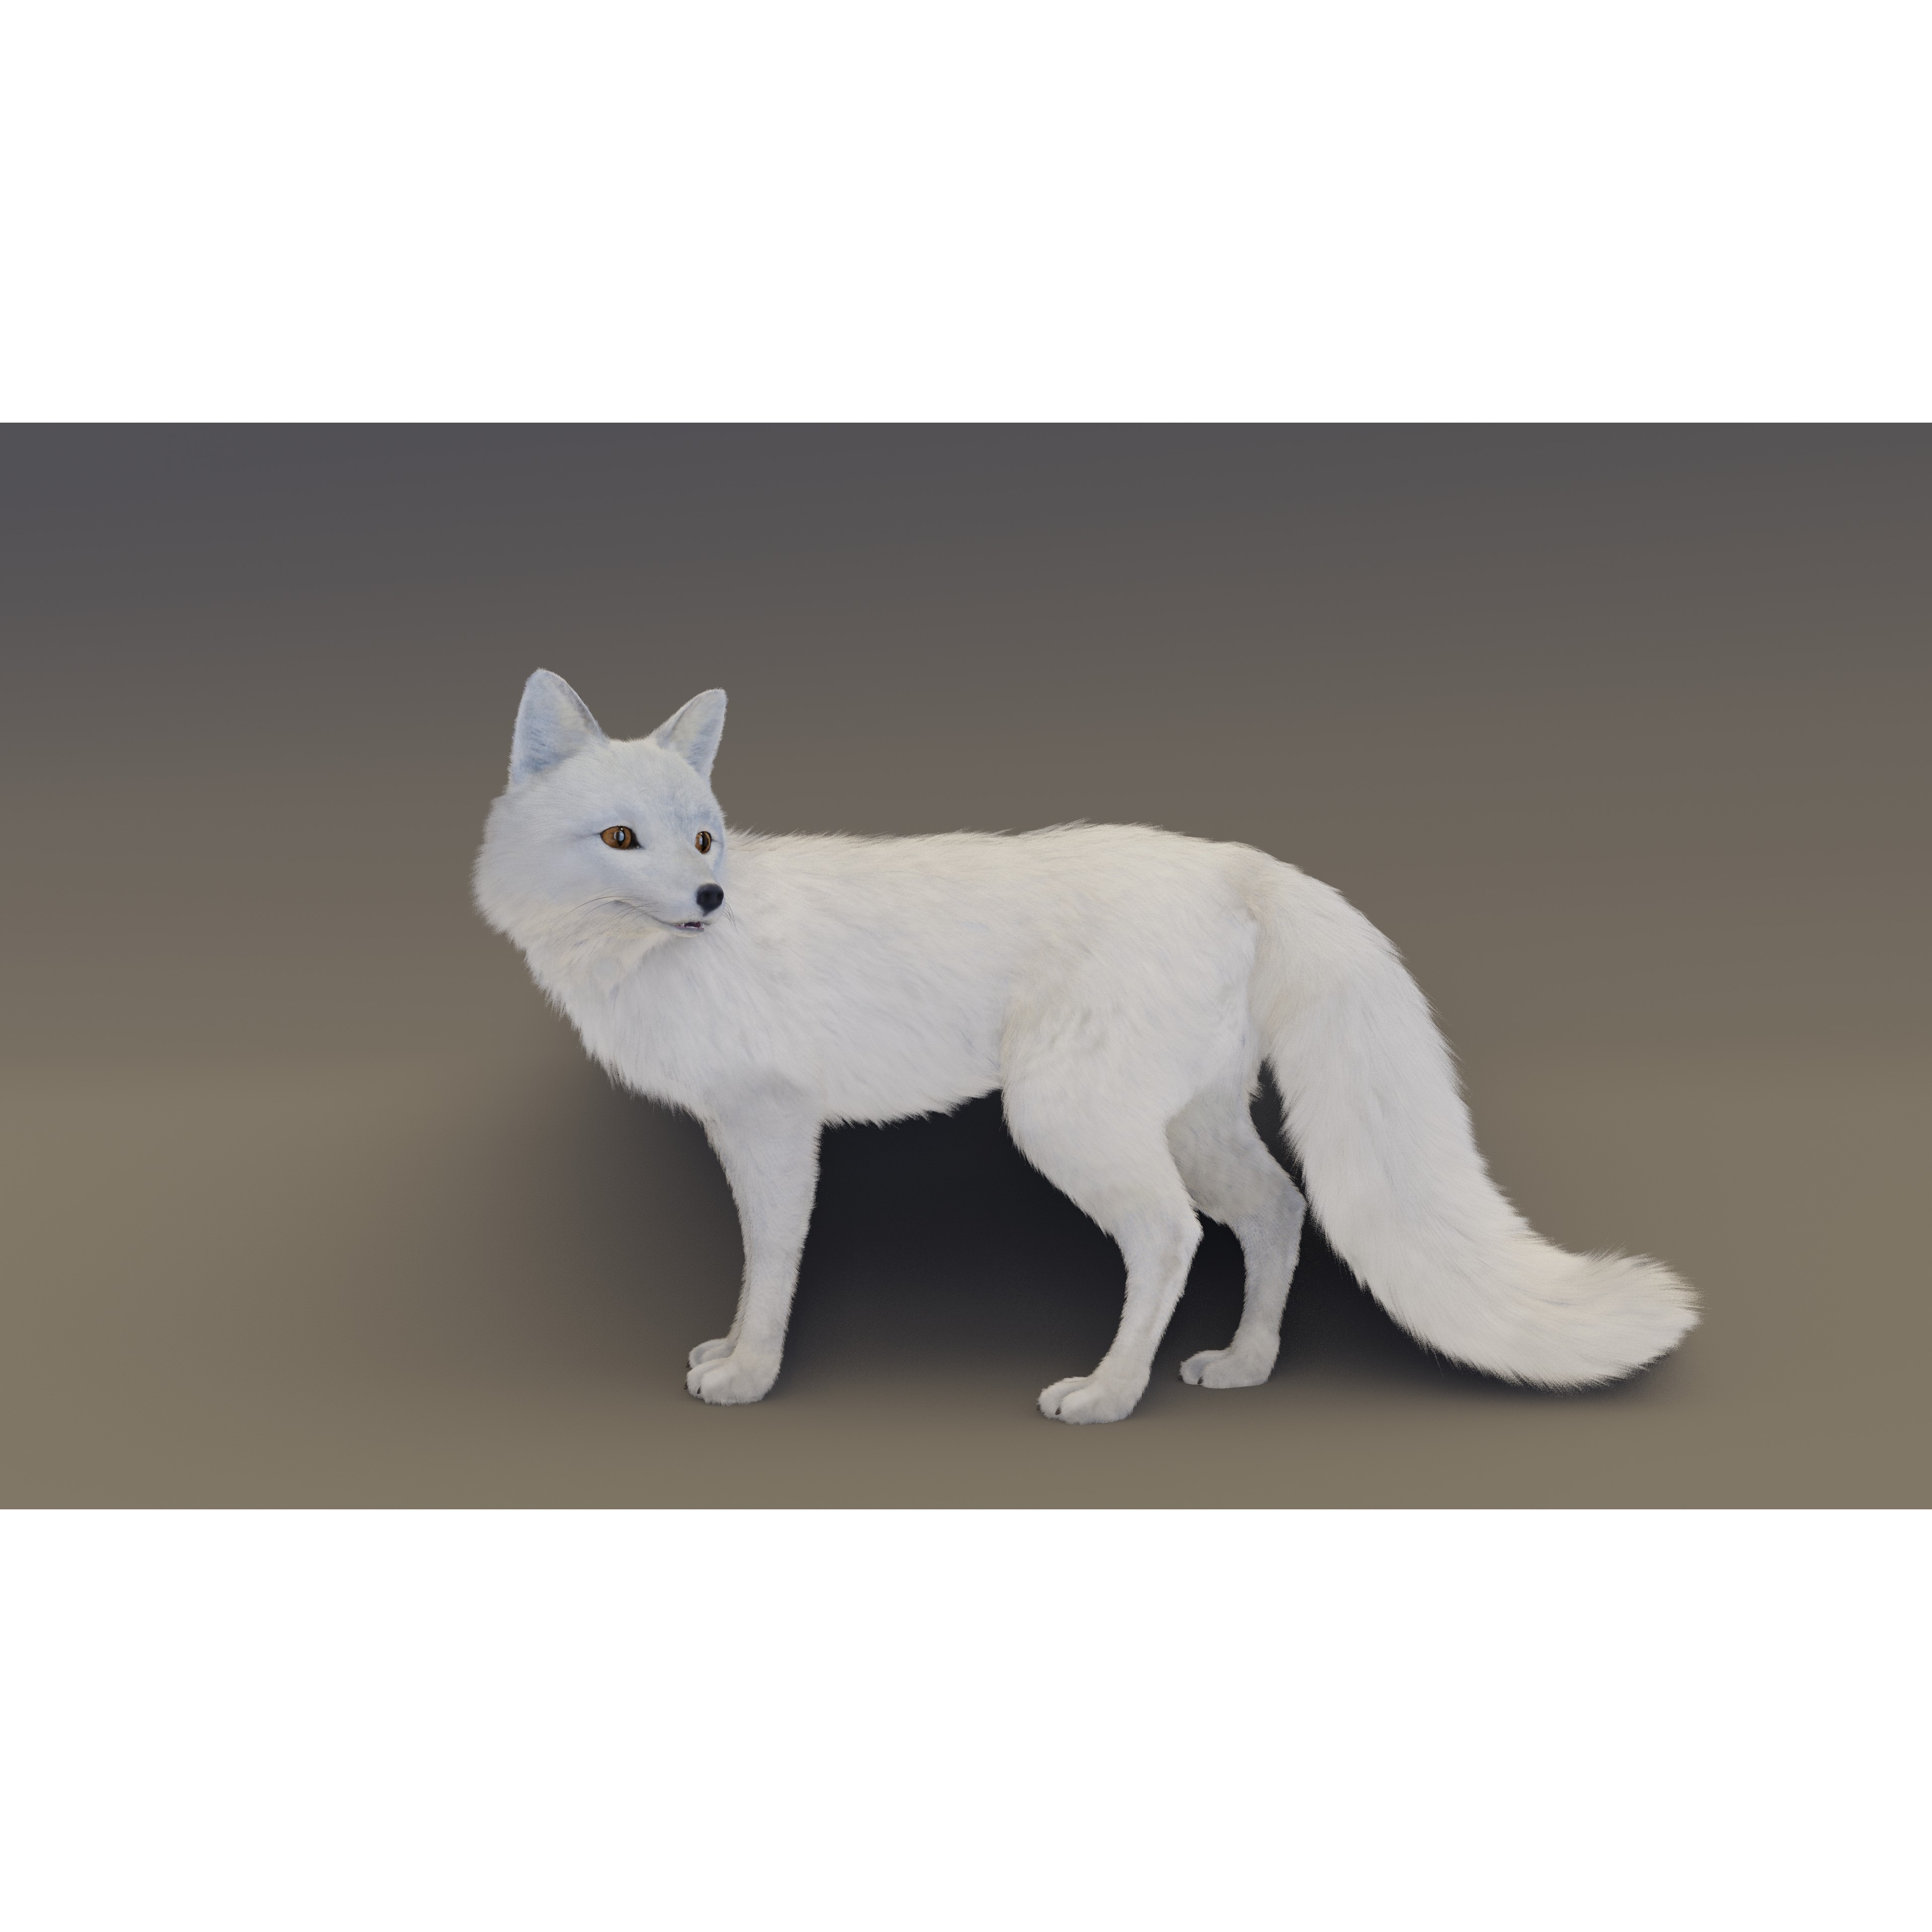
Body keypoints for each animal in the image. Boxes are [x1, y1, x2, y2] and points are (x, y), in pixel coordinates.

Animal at [473, 670, 1699, 1424]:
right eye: (624, 838)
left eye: (701, 838)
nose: (712, 898)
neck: (640, 964)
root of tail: (1237, 863)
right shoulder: (741, 1128)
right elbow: (757, 1262)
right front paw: (730, 1354)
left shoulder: (775, 1124)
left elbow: (773, 1260)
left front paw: (750, 1373)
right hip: (1191, 1123)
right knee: (1278, 1211)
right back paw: (1247, 1366)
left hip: (1065, 1125)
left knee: (1171, 1239)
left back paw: (1109, 1395)